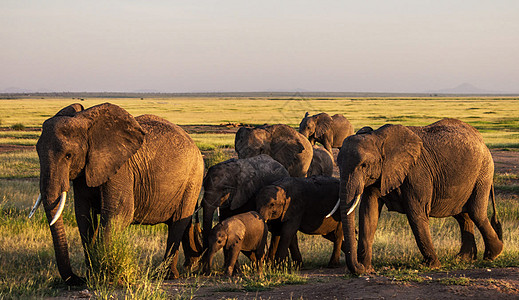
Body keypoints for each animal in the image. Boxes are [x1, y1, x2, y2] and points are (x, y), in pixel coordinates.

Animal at [30, 103, 205, 286]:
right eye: (38, 152)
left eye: (68, 155)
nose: (79, 279)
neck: (85, 121)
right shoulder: (85, 170)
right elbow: (84, 217)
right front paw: (92, 276)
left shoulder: (121, 168)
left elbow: (119, 213)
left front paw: (103, 277)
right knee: (180, 223)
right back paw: (186, 267)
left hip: (193, 178)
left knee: (179, 220)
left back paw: (167, 275)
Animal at [338, 118, 504, 274]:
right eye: (338, 166)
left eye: (364, 165)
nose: (358, 266)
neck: (378, 137)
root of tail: (482, 140)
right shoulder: (378, 176)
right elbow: (368, 213)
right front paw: (367, 269)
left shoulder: (416, 173)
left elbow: (416, 214)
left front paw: (433, 265)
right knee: (463, 215)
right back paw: (464, 259)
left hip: (483, 172)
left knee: (476, 213)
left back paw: (493, 254)